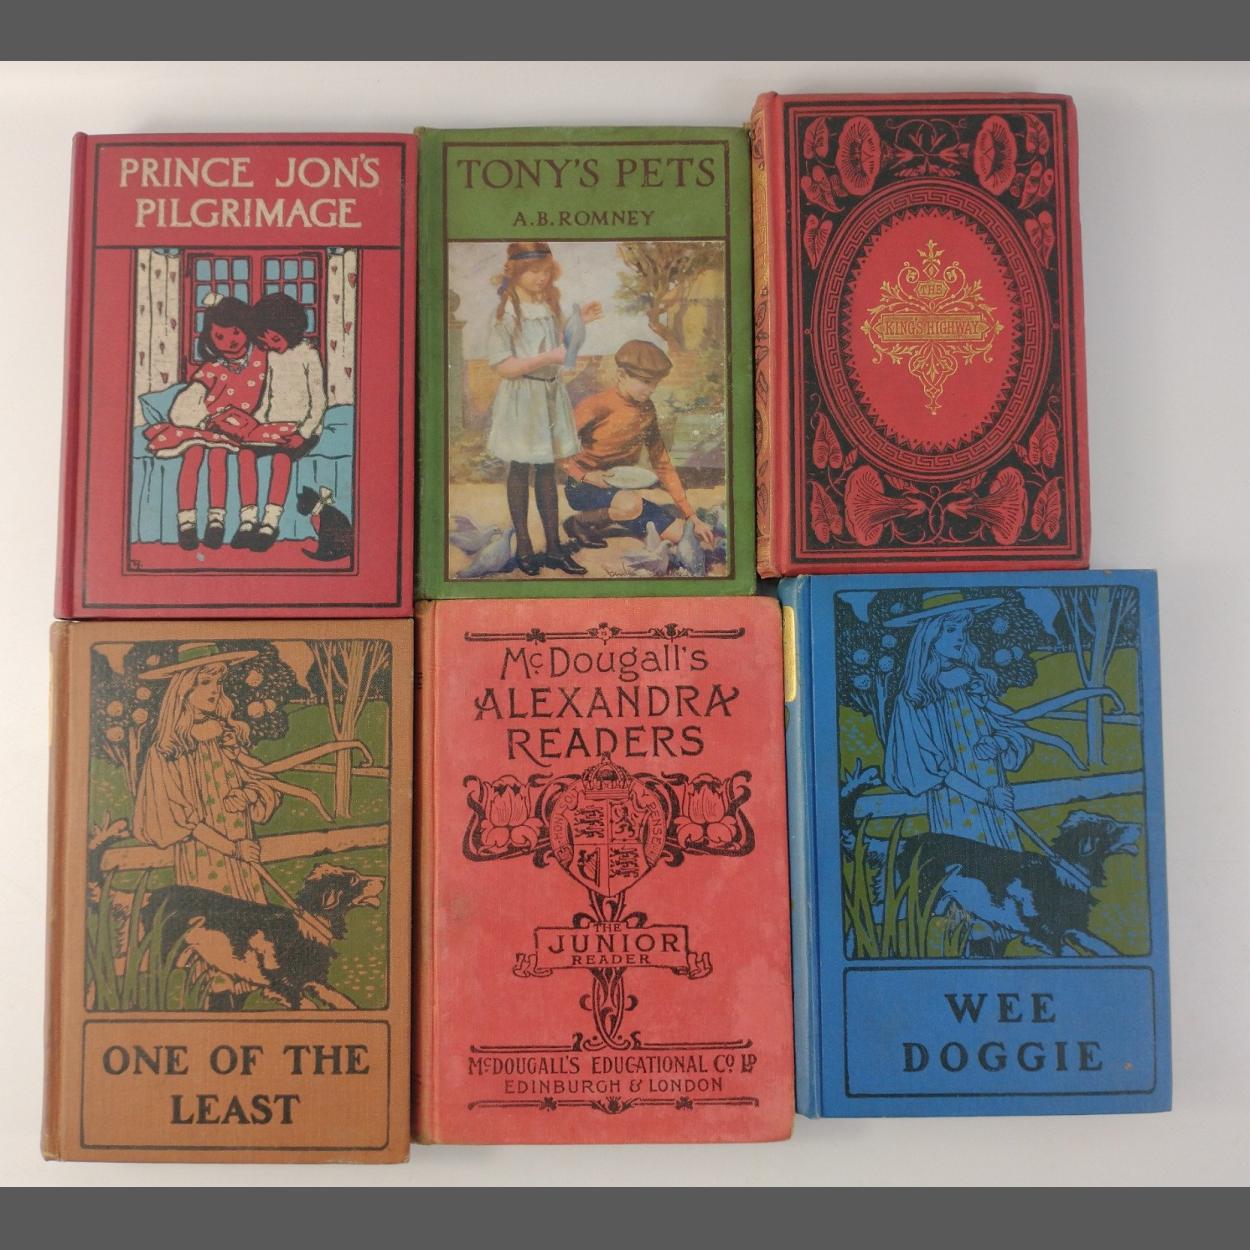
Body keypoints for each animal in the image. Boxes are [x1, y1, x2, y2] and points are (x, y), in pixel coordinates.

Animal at [140, 863, 384, 1010]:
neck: (305, 926)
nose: (383, 879)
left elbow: (342, 1000)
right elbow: (309, 1005)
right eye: (353, 880)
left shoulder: (314, 980)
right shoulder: (281, 987)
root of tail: (152, 895)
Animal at [895, 810, 1141, 957]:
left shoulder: (1075, 927)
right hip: (924, 901)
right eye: (1111, 827)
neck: (1062, 873)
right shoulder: (1040, 936)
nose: (1138, 826)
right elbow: (1071, 952)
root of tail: (909, 841)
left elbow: (1104, 946)